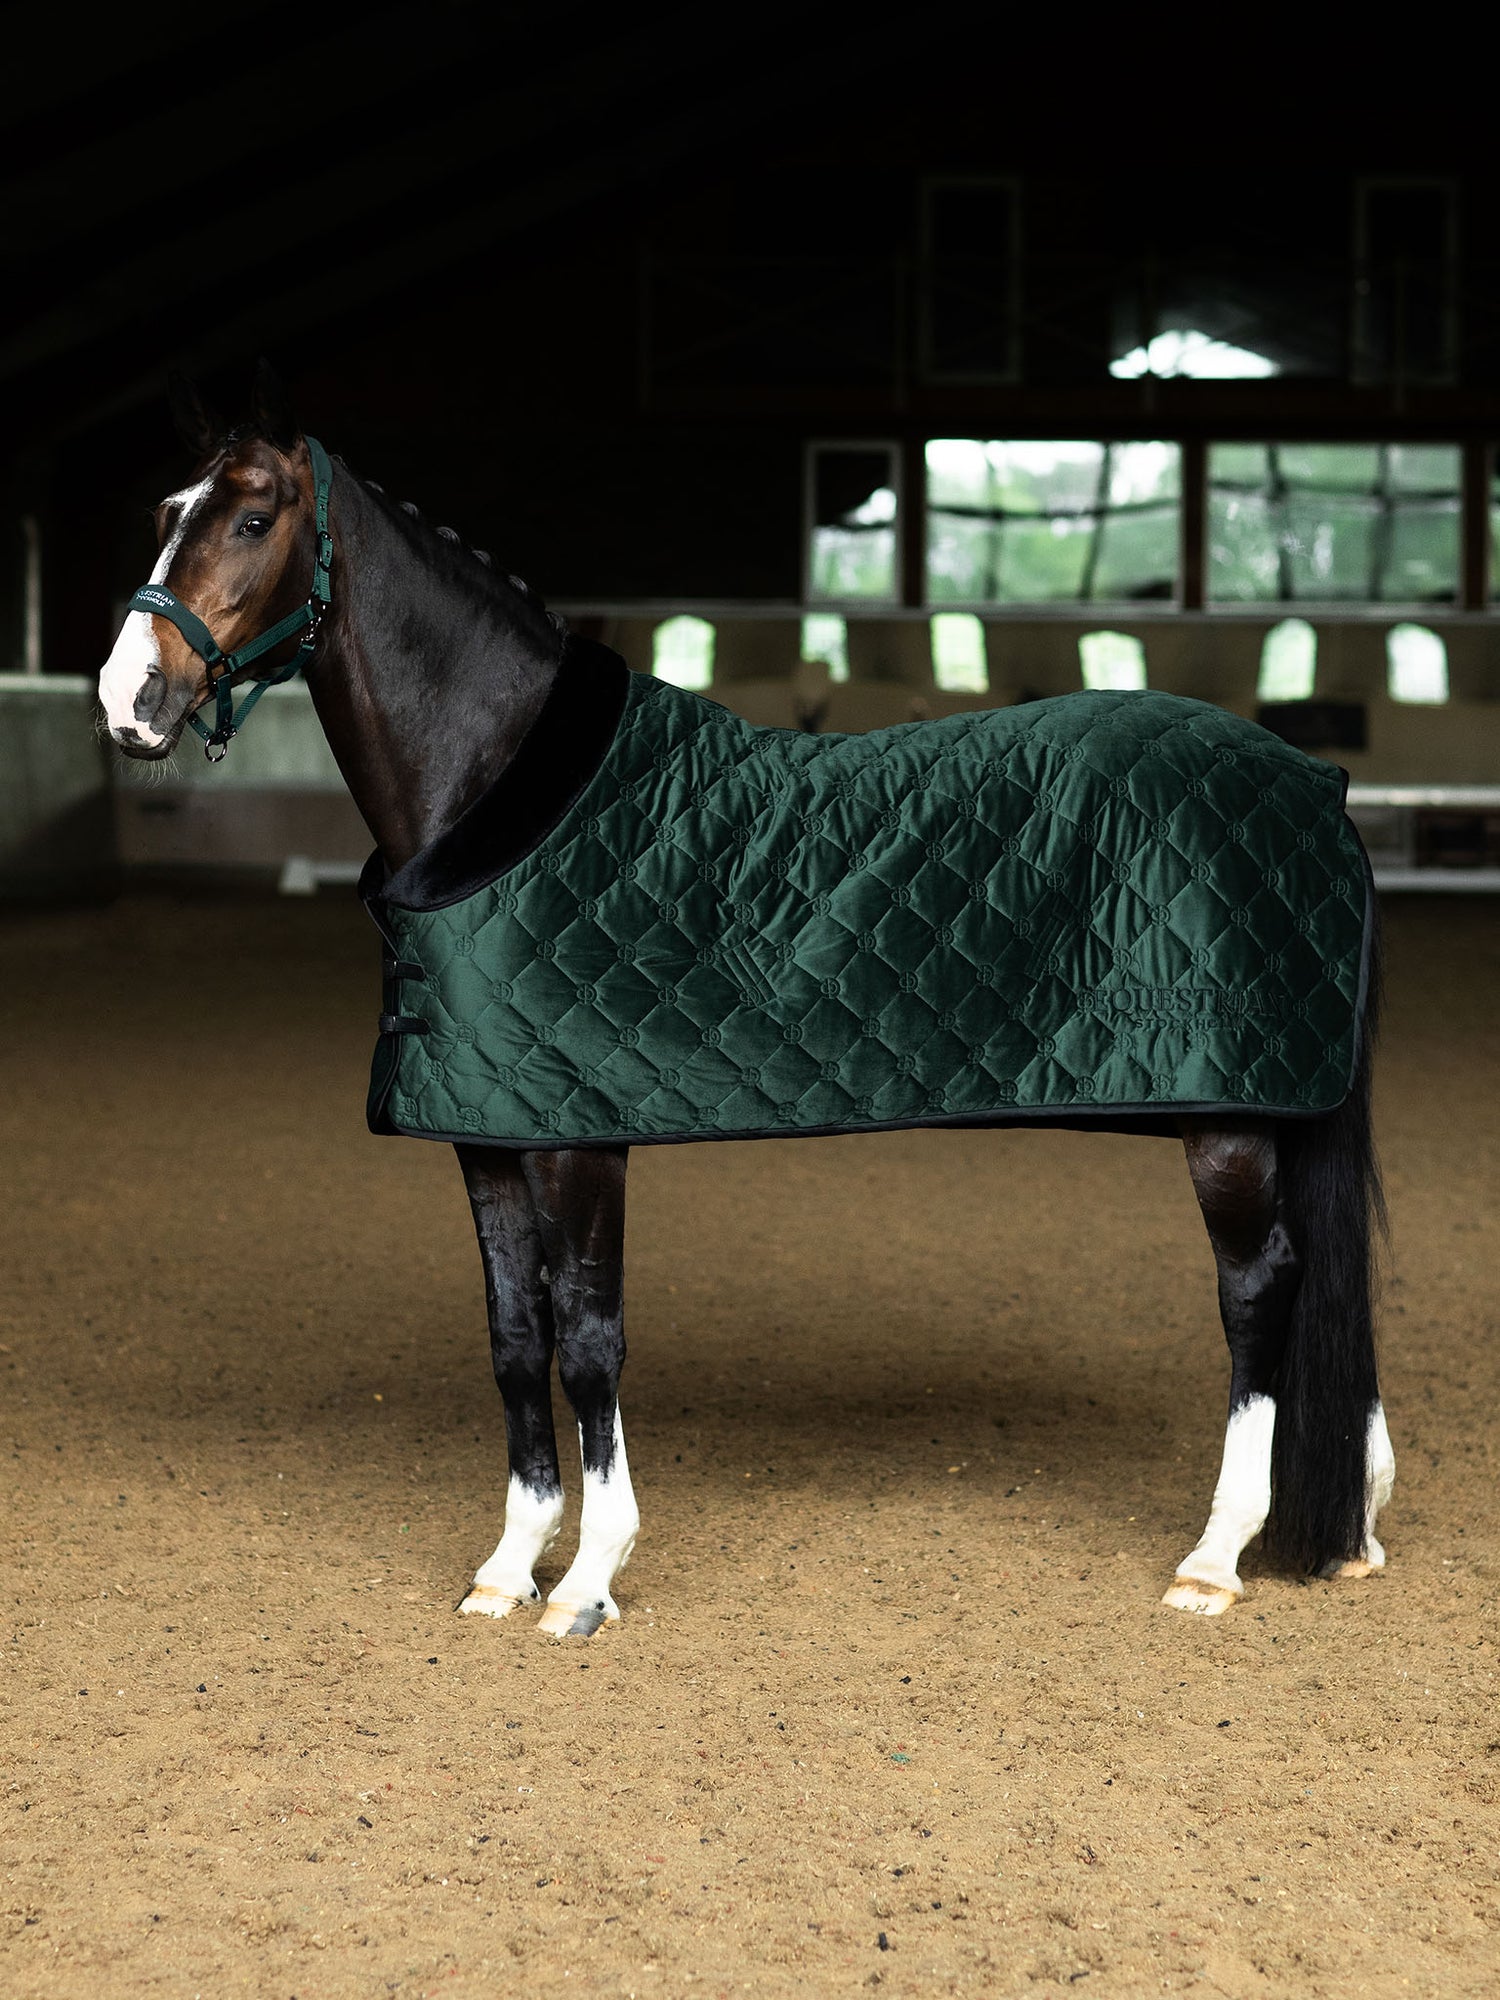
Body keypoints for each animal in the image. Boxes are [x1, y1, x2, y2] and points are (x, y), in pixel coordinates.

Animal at [97, 373, 1394, 1637]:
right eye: (165, 511)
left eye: (253, 518)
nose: (128, 698)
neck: (501, 790)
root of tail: (1317, 782)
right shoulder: (485, 1132)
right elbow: (517, 1338)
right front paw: (510, 1567)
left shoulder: (577, 1137)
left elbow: (589, 1339)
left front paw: (588, 1578)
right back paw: (1356, 1528)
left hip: (1228, 1120)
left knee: (1260, 1290)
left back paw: (1216, 1557)